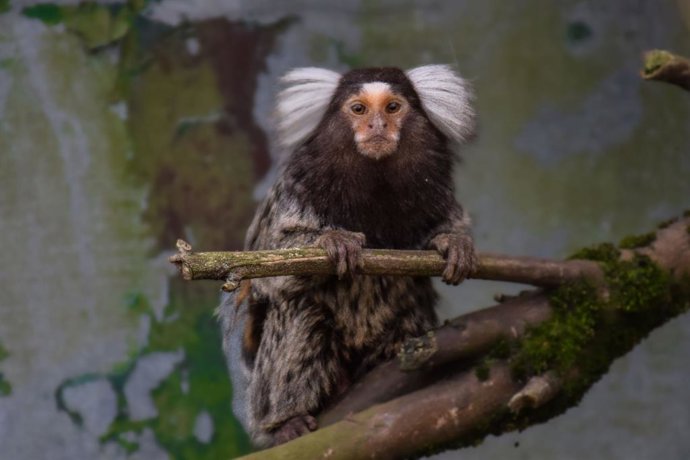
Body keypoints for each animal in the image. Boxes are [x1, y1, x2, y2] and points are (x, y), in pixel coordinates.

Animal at [217, 64, 477, 447]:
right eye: (358, 109)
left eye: (393, 108)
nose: (377, 126)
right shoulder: (295, 192)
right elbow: (267, 269)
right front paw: (334, 241)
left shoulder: (436, 192)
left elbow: (449, 226)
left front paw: (453, 243)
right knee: (300, 313)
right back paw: (285, 422)